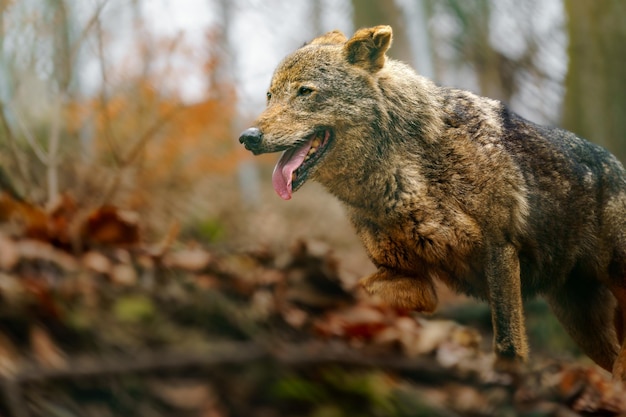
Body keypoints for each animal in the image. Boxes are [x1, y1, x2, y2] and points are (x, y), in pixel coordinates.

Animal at [238, 25, 624, 376]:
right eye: (269, 95)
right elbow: (355, 292)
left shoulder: (499, 252)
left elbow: (507, 346)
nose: (247, 137)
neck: (405, 173)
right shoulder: (409, 278)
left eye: (305, 92)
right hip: (582, 324)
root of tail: (617, 164)